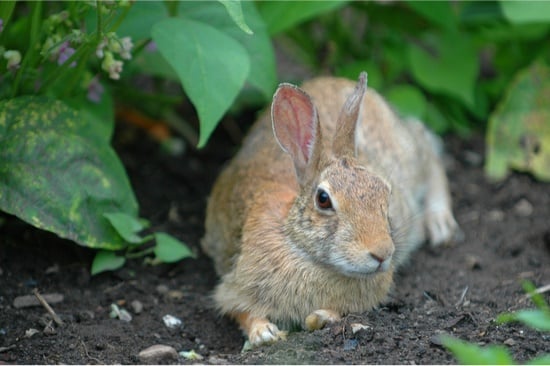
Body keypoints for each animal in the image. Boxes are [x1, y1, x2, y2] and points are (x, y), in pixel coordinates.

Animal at [201, 71, 460, 346]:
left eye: (385, 193)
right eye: (323, 199)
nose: (382, 253)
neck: (305, 252)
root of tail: (333, 80)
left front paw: (320, 317)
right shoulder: (233, 285)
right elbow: (240, 311)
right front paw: (264, 333)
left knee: (429, 153)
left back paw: (440, 223)